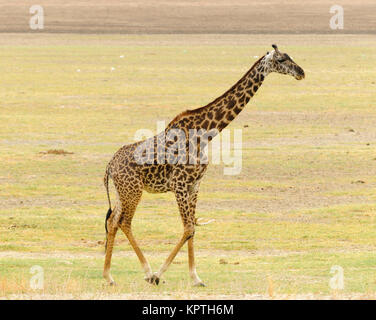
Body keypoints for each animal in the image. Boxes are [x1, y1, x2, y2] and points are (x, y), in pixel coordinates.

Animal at [103, 43, 306, 286]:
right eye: (282, 59)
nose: (301, 72)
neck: (205, 134)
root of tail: (109, 167)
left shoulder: (194, 184)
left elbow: (192, 229)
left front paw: (195, 277)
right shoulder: (179, 184)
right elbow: (189, 227)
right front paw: (160, 275)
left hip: (123, 192)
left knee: (113, 221)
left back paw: (109, 276)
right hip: (133, 191)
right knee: (125, 222)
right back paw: (147, 272)